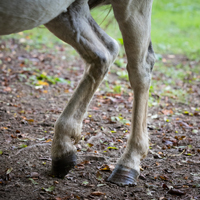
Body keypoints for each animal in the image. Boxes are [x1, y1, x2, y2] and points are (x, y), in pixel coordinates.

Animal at [0, 0, 155, 186]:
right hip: (66, 11)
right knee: (104, 53)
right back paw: (63, 149)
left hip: (132, 6)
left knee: (140, 68)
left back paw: (129, 162)